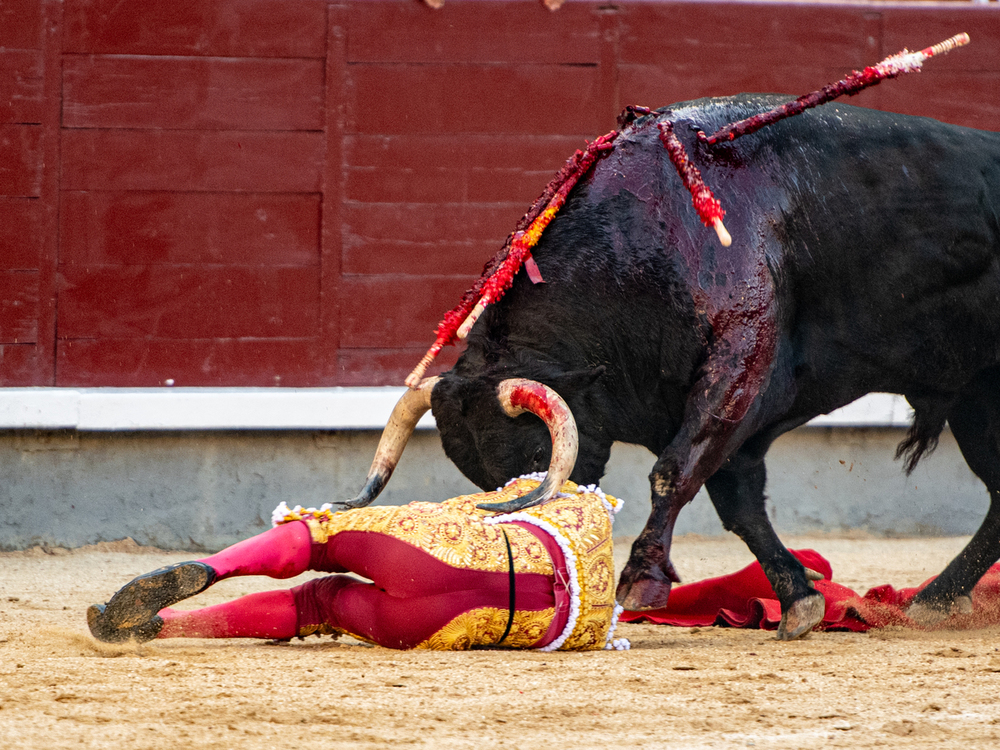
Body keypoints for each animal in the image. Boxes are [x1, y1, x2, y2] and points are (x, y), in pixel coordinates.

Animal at [408, 95, 1000, 640]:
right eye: (479, 479)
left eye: (537, 455)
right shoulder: (712, 411)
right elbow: (738, 502)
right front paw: (801, 600)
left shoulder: (739, 364)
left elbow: (676, 472)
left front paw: (641, 581)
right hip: (977, 402)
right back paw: (933, 599)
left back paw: (932, 600)